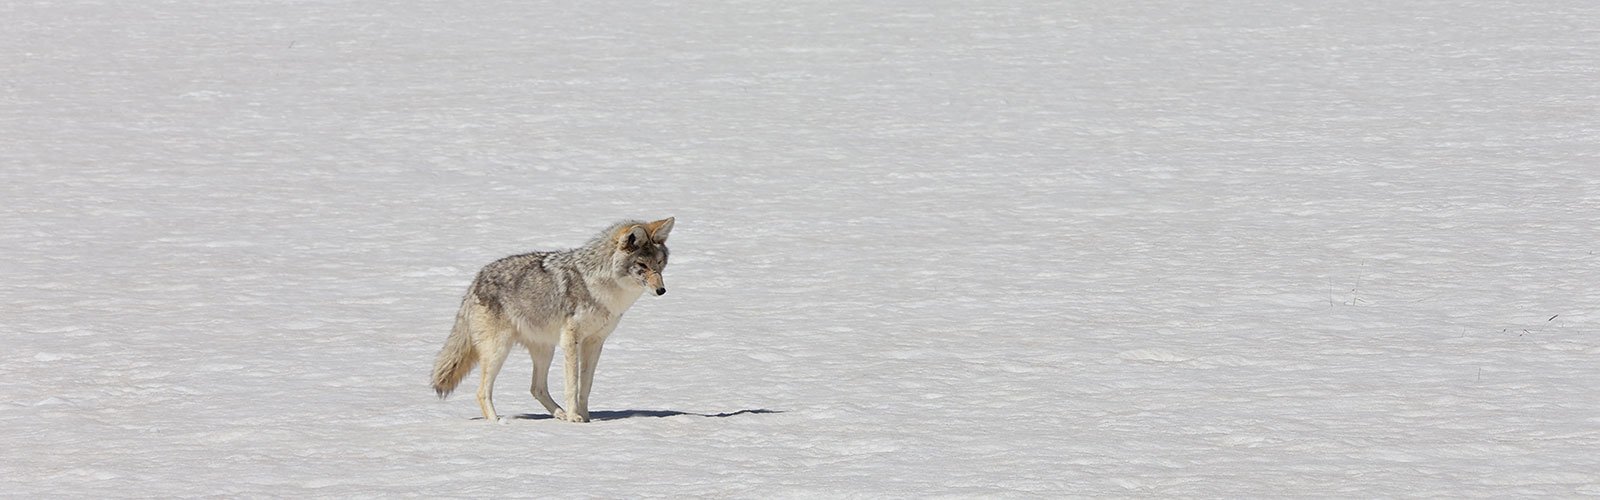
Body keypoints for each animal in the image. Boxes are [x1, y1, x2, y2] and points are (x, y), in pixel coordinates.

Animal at [430, 217, 673, 423]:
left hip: (545, 351)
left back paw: (560, 414)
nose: (662, 290)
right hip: (498, 351)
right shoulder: (571, 340)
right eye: (642, 266)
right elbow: (572, 384)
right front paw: (575, 418)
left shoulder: (594, 342)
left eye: (660, 263)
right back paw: (498, 423)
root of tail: (475, 280)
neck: (602, 288)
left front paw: (585, 418)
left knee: (536, 388)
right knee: (482, 392)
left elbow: (585, 386)